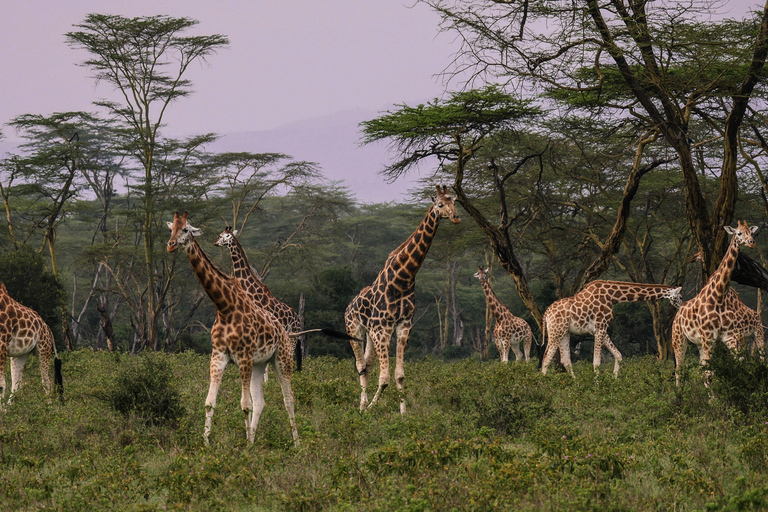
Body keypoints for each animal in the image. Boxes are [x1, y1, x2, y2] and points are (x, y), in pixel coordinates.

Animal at [344, 186, 460, 414]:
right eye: (440, 204)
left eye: (454, 201)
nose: (456, 217)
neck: (404, 279)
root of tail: (348, 306)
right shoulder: (383, 328)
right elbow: (385, 377)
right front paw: (371, 409)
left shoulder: (403, 325)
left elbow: (399, 375)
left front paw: (404, 414)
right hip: (355, 330)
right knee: (360, 366)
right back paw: (361, 407)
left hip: (370, 333)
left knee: (367, 366)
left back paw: (363, 404)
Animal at [540, 280, 684, 376]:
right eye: (680, 296)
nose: (682, 306)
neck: (613, 297)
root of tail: (546, 314)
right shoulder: (601, 326)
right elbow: (597, 362)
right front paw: (597, 388)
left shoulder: (600, 329)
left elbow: (618, 355)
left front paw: (614, 381)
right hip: (556, 332)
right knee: (546, 357)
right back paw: (543, 385)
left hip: (564, 332)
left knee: (565, 360)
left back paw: (575, 385)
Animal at [668, 220, 760, 384]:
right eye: (739, 233)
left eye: (751, 232)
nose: (752, 243)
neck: (718, 298)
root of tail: (678, 312)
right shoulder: (709, 336)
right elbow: (710, 372)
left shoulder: (725, 336)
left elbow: (734, 364)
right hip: (678, 339)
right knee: (679, 370)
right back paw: (679, 391)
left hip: (699, 343)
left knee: (699, 368)